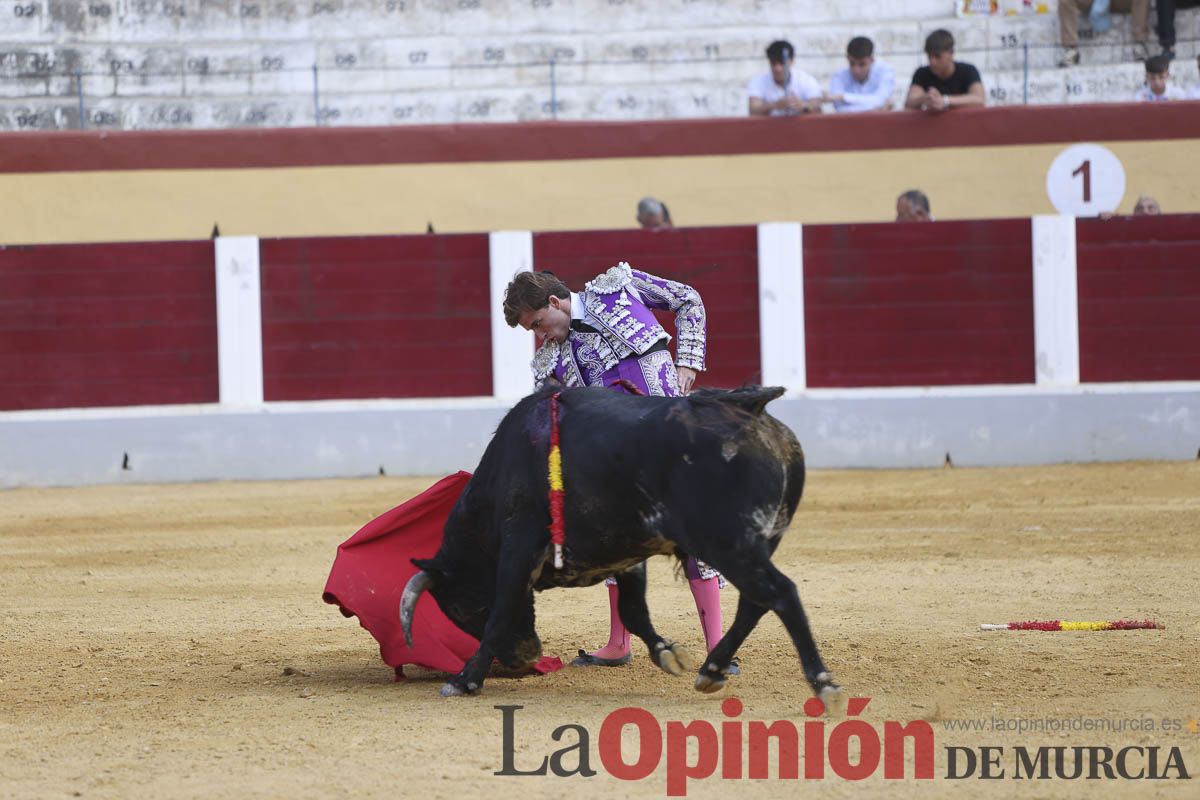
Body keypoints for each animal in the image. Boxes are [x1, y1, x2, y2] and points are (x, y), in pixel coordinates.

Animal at [398, 383, 840, 705]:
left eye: (463, 608)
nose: (525, 658)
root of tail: (751, 410)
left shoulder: (518, 547)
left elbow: (501, 612)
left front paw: (464, 680)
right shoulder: (626, 552)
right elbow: (633, 610)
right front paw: (667, 653)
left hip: (729, 543)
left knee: (780, 592)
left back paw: (823, 685)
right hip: (761, 540)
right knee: (754, 601)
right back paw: (711, 670)